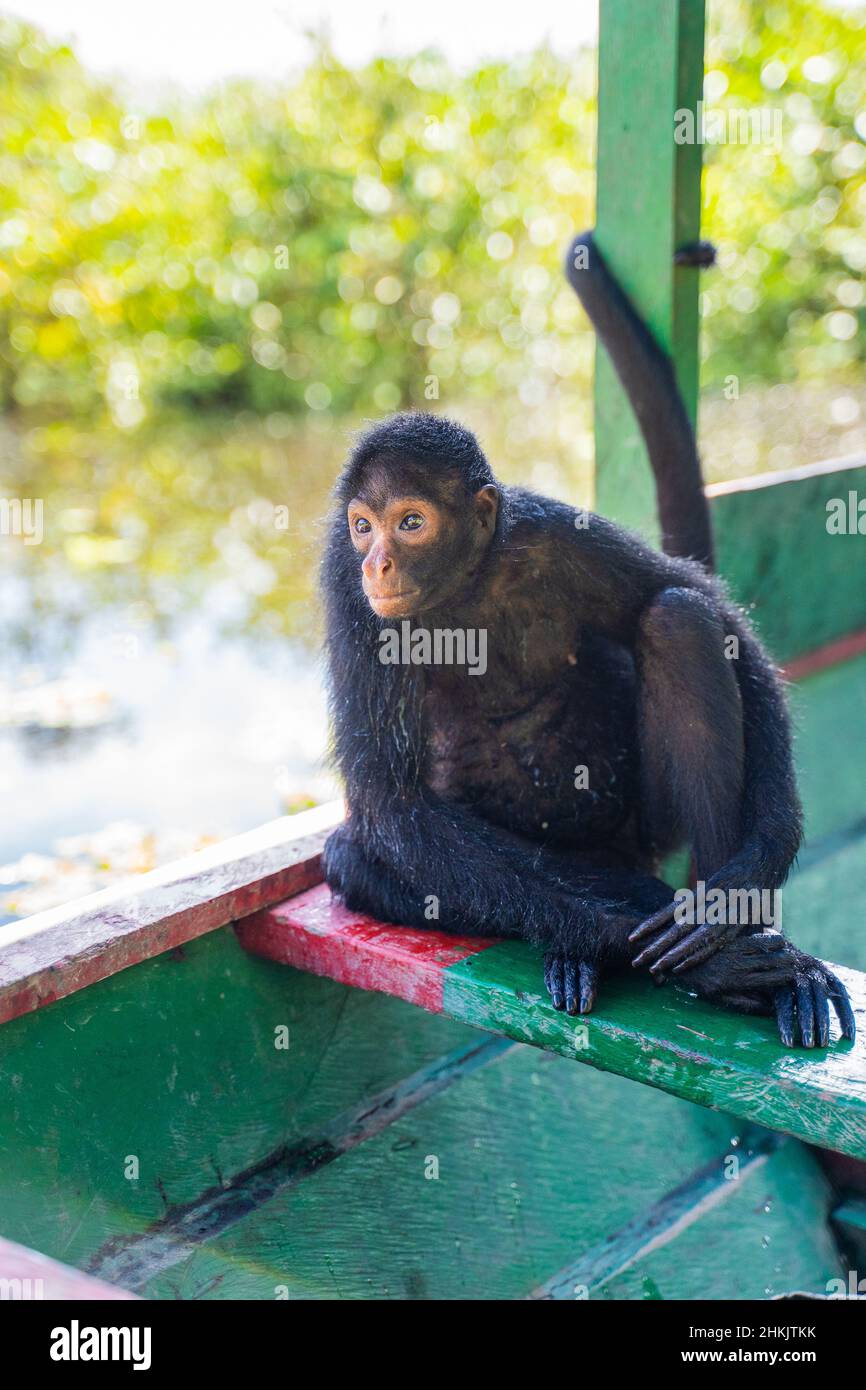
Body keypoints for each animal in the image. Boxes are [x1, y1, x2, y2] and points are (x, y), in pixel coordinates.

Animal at [322, 230, 856, 1050]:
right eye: (361, 525)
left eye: (409, 522)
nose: (378, 561)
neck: (464, 586)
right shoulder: (347, 590)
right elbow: (390, 802)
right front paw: (667, 953)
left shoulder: (550, 530)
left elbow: (715, 613)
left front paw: (750, 879)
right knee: (353, 856)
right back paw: (622, 953)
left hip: (644, 823)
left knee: (677, 617)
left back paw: (725, 930)